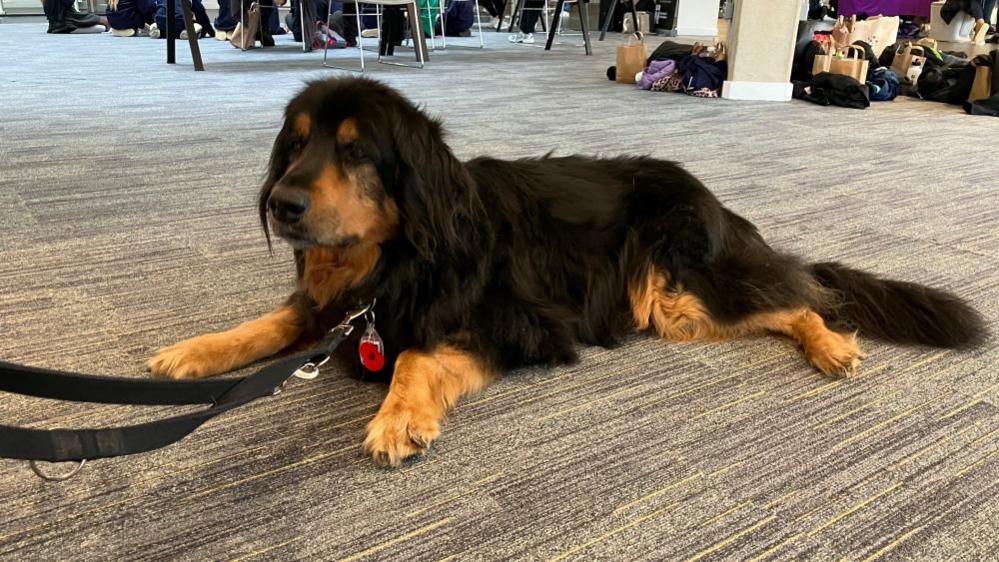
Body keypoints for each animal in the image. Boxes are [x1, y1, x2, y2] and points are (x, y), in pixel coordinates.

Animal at [146, 76, 984, 466]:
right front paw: (192, 352)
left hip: (679, 292)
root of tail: (718, 205)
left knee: (799, 297)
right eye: (296, 145)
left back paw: (832, 345)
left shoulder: (522, 322)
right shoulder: (331, 305)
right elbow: (271, 321)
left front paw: (396, 415)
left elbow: (416, 353)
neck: (393, 257)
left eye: (355, 151)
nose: (282, 203)